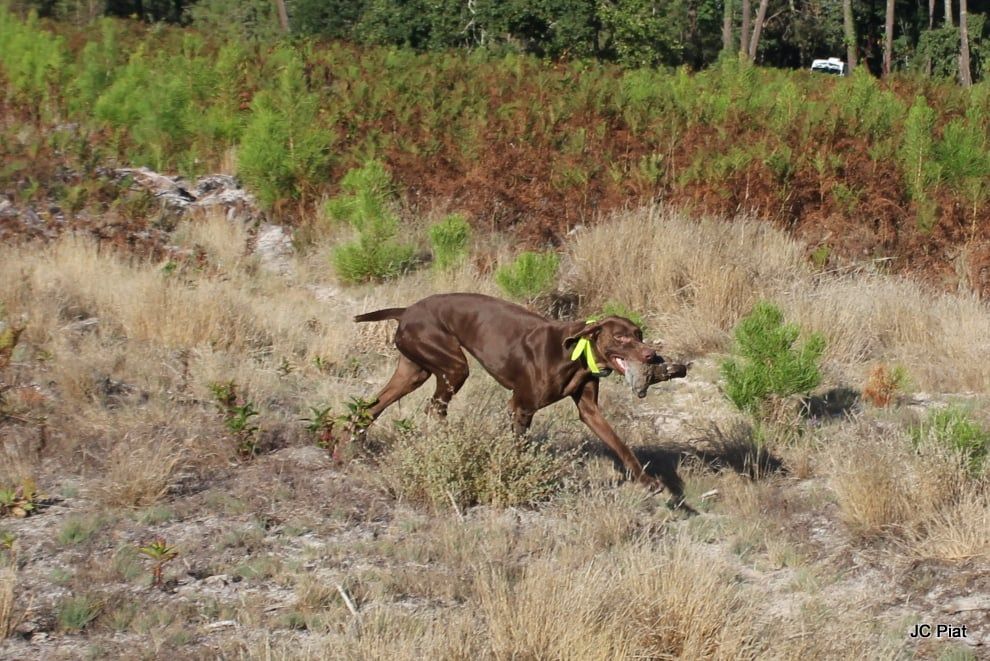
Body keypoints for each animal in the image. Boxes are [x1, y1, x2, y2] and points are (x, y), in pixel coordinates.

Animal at [354, 292, 688, 492]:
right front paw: (516, 474)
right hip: (452, 366)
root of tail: (406, 310)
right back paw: (448, 442)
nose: (651, 356)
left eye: (639, 334)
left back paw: (356, 445)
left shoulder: (589, 411)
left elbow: (620, 445)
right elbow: (519, 447)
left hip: (413, 371)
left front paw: (646, 480)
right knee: (434, 407)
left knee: (371, 408)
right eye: (620, 337)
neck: (575, 354)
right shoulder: (520, 406)